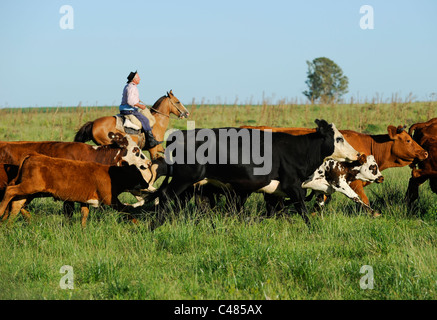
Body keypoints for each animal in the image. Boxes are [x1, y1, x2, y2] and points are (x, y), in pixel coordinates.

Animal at [0, 153, 148, 226]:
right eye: (137, 174)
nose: (146, 184)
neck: (112, 175)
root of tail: (31, 156)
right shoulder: (110, 200)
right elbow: (126, 210)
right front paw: (138, 224)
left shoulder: (85, 201)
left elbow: (84, 216)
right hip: (30, 186)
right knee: (10, 191)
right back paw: (2, 212)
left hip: (28, 191)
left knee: (17, 205)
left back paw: (9, 226)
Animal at [148, 120, 360, 225]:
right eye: (339, 138)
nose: (358, 154)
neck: (297, 149)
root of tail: (179, 134)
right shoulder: (293, 186)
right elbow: (303, 211)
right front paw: (313, 229)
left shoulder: (275, 193)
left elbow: (277, 212)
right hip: (185, 179)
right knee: (165, 196)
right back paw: (155, 226)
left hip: (190, 186)